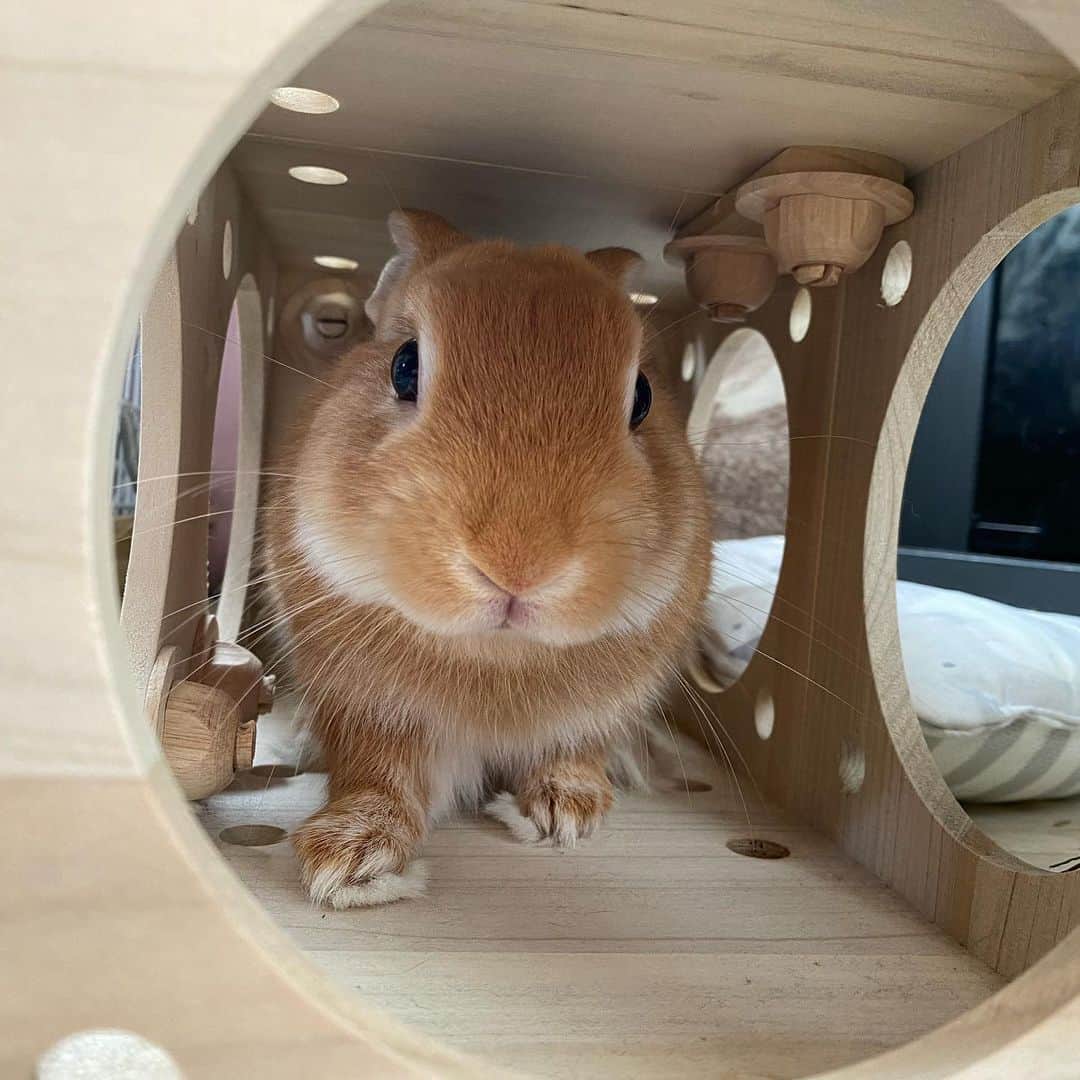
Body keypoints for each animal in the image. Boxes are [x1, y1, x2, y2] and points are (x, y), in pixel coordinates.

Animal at [262, 209, 711, 908]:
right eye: (405, 366)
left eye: (642, 397)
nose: (519, 563)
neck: (497, 656)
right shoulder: (369, 710)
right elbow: (376, 772)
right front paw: (347, 857)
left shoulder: (599, 713)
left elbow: (577, 748)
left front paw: (567, 813)